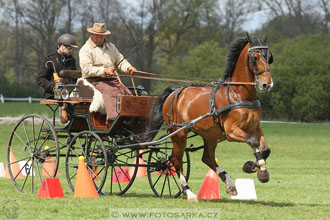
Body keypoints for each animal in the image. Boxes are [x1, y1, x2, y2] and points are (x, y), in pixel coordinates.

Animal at [146, 33, 272, 202]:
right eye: (255, 57)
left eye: (269, 57)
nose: (267, 84)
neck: (238, 95)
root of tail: (175, 91)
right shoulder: (231, 131)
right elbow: (253, 142)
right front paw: (260, 170)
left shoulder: (254, 127)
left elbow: (265, 149)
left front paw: (252, 166)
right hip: (179, 134)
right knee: (175, 160)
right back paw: (189, 192)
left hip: (210, 135)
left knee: (207, 157)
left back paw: (229, 184)